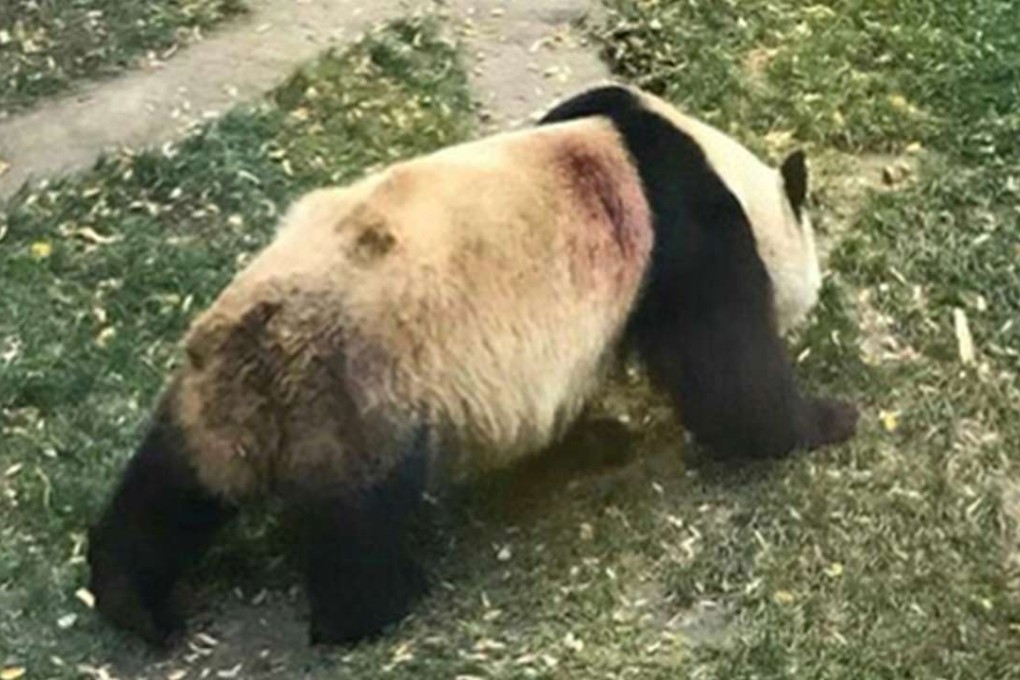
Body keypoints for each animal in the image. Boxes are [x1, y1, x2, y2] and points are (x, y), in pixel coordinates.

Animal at [86, 83, 858, 647]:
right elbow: (728, 379)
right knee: (358, 520)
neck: (715, 164)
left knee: (172, 487)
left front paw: (597, 439)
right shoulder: (690, 235)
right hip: (360, 388)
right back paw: (376, 608)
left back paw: (133, 601)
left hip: (212, 393)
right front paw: (828, 417)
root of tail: (261, 345)